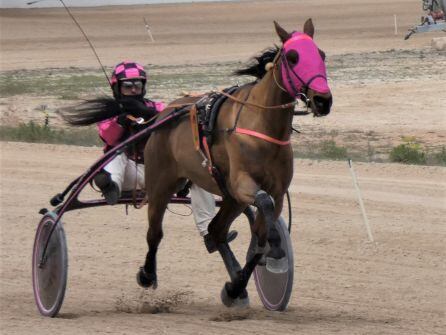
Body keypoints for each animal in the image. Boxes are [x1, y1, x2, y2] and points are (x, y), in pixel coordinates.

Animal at [138, 18, 332, 308]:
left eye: (321, 54)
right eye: (293, 57)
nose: (323, 100)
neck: (262, 125)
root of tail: (167, 111)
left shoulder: (275, 191)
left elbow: (260, 241)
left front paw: (237, 285)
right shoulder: (243, 184)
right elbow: (263, 206)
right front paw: (276, 249)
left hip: (230, 198)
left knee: (216, 231)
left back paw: (235, 287)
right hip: (161, 181)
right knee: (155, 232)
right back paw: (147, 274)